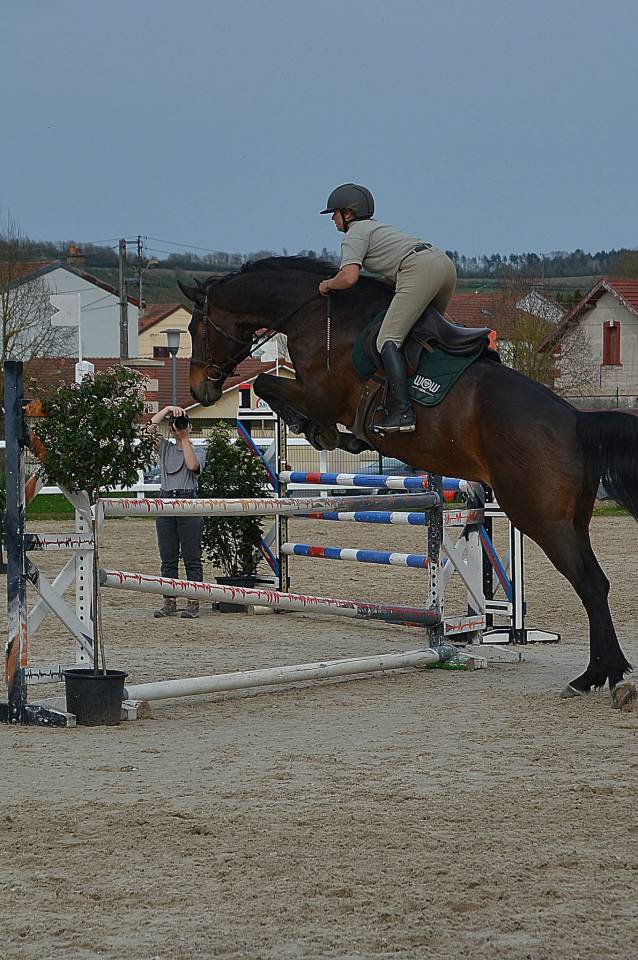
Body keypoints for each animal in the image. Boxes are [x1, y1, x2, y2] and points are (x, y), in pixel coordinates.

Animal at [179, 256, 638, 708]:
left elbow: (265, 382)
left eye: (194, 329)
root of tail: (577, 422)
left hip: (541, 518)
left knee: (589, 583)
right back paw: (600, 674)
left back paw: (604, 676)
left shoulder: (319, 394)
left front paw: (318, 430)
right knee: (596, 582)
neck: (314, 310)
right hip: (572, 520)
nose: (200, 390)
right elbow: (268, 385)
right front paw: (332, 435)